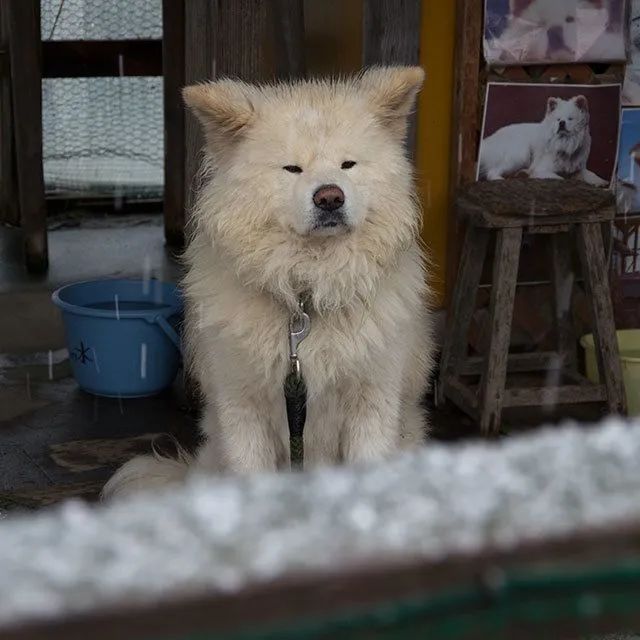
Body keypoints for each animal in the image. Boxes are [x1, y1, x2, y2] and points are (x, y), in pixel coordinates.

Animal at [104, 67, 436, 498]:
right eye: (292, 169)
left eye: (348, 165)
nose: (330, 197)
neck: (306, 296)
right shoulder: (243, 407)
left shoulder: (372, 402)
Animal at [478, 94, 608, 186]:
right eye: (558, 119)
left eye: (570, 119)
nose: (562, 123)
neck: (566, 144)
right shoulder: (543, 169)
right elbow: (560, 178)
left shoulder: (579, 168)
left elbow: (590, 174)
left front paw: (601, 182)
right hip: (521, 154)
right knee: (492, 173)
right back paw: (502, 178)